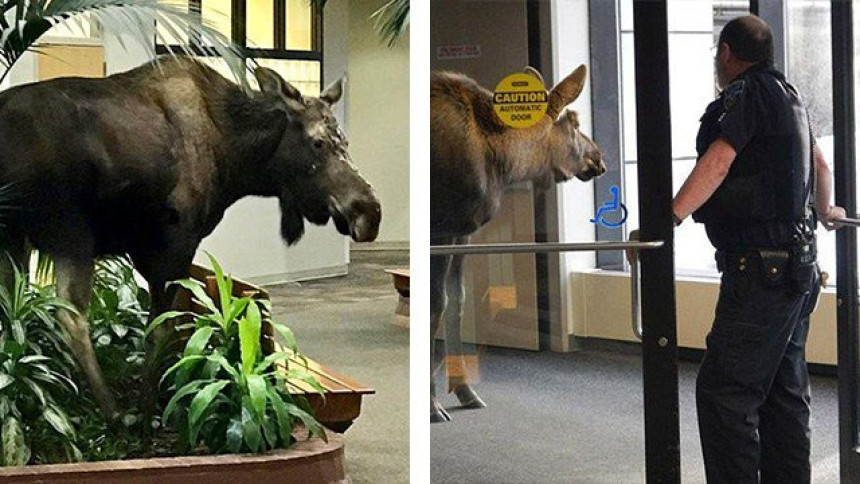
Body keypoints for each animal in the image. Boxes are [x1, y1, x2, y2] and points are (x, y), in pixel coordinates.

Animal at [0, 55, 380, 420]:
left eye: (344, 141)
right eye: (318, 142)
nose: (369, 211)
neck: (237, 156)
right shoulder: (174, 243)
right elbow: (161, 330)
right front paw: (148, 413)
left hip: (17, 237)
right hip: (70, 232)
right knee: (71, 316)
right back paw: (114, 415)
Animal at [430, 65, 604, 424]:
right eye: (575, 123)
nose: (599, 158)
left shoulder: (461, 230)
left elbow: (457, 301)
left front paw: (464, 388)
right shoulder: (440, 227)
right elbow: (435, 303)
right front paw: (432, 404)